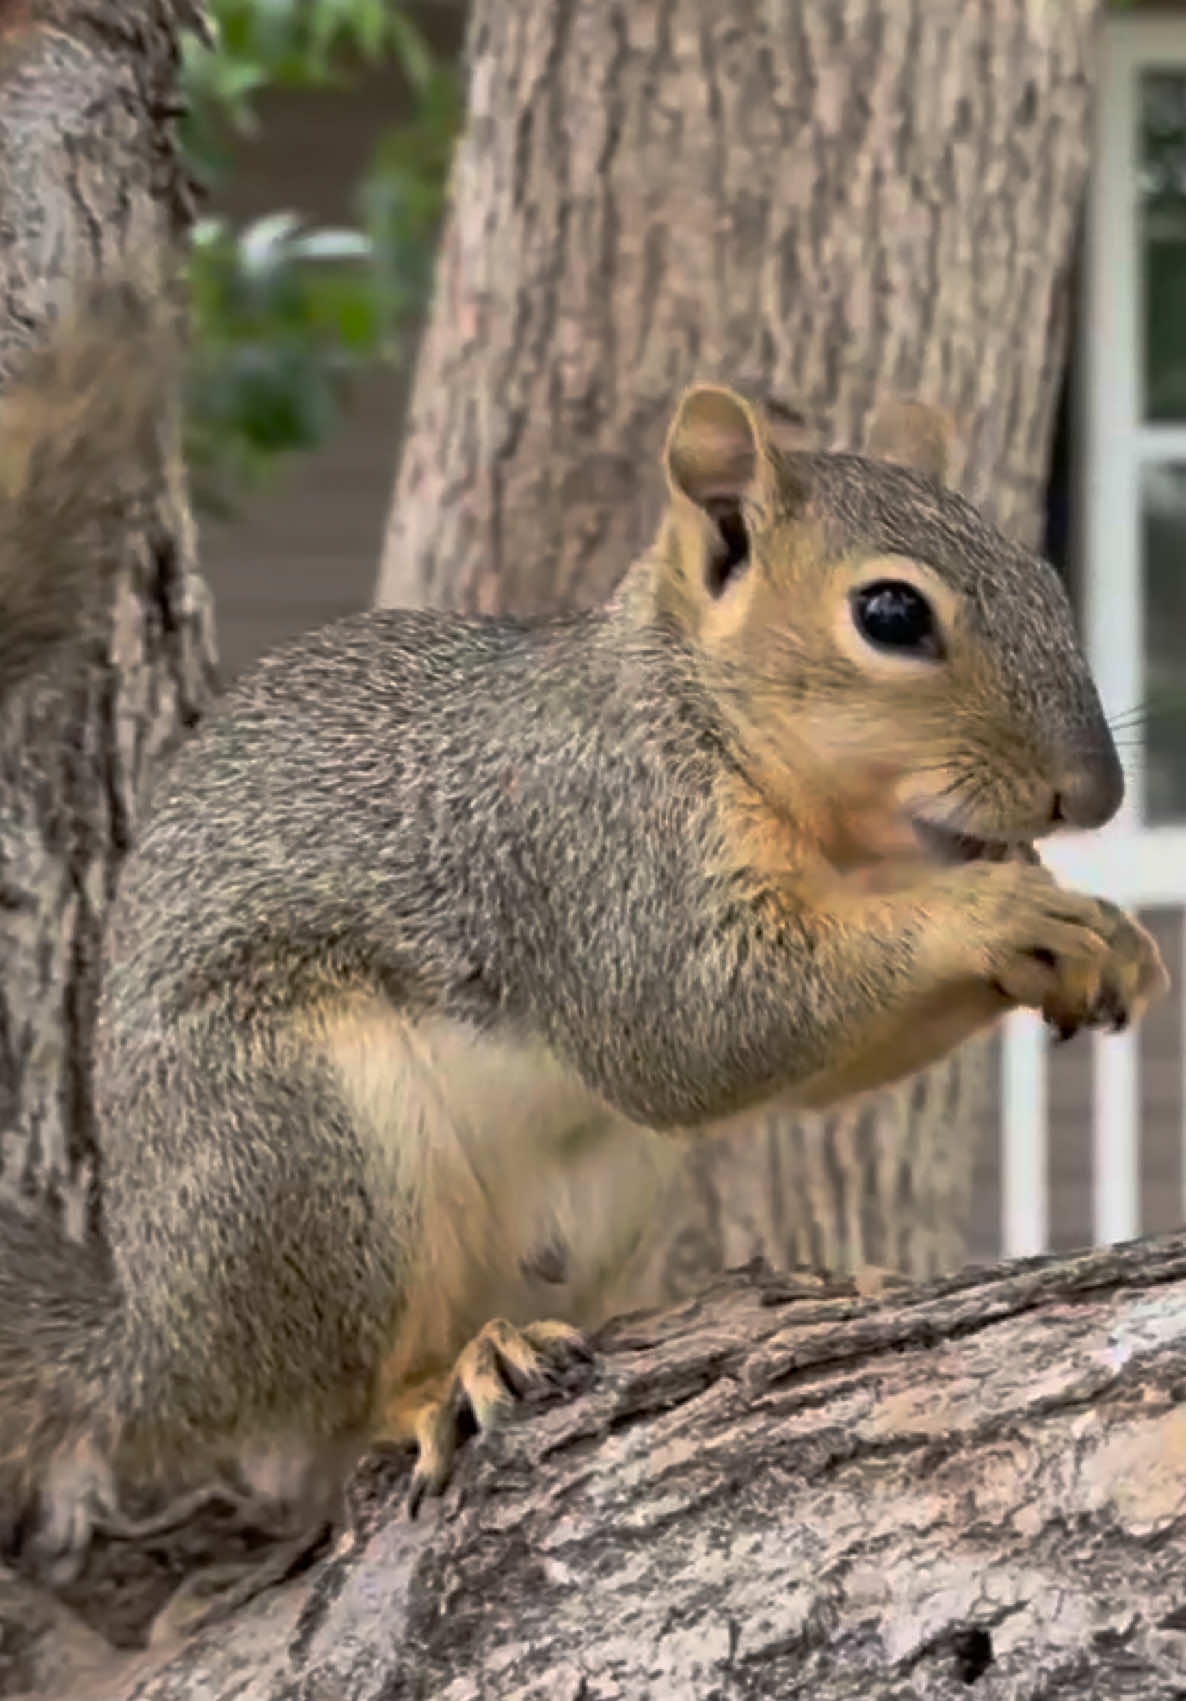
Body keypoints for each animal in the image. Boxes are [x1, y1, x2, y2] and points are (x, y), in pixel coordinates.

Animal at [0, 286, 1168, 1638]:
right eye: (890, 614)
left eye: (1043, 574)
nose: (1093, 795)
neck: (708, 721)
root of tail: (158, 1343)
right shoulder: (589, 843)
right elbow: (692, 1029)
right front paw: (993, 913)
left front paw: (1103, 938)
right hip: (300, 1147)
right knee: (325, 1404)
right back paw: (444, 1376)